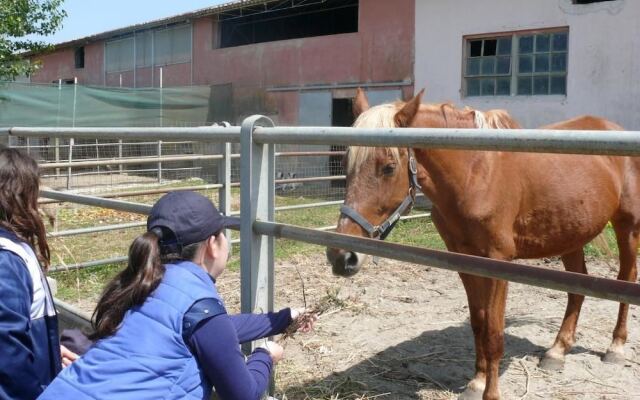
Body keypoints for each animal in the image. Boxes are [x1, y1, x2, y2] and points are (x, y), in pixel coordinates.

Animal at [328, 90, 636, 400]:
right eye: (346, 164)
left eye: (389, 167)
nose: (341, 257)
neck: (475, 174)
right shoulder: (464, 261)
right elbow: (478, 323)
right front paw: (476, 382)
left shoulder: (498, 264)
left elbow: (493, 333)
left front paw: (491, 392)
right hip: (570, 233)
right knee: (577, 287)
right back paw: (557, 351)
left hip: (628, 226)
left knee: (626, 278)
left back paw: (615, 348)